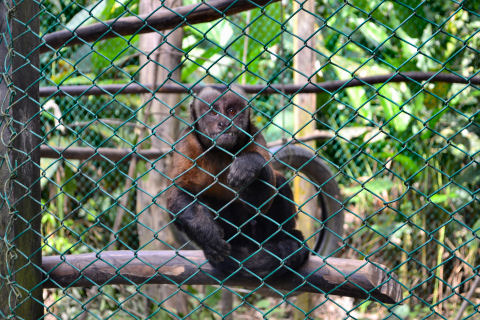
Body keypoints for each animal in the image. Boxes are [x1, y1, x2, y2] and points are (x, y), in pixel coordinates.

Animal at [166, 87, 308, 278]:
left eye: (231, 111)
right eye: (213, 112)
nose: (224, 123)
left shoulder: (254, 135)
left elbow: (262, 204)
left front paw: (251, 164)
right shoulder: (187, 141)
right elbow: (179, 191)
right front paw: (206, 231)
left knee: (279, 181)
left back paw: (284, 239)